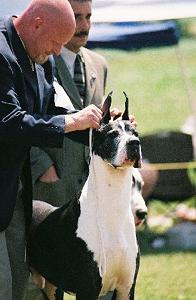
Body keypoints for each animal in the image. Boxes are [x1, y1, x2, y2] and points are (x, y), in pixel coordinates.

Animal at [27, 92, 142, 298]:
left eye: (135, 134)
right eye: (112, 135)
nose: (134, 144)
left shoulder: (127, 288)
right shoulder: (87, 289)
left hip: (52, 286)